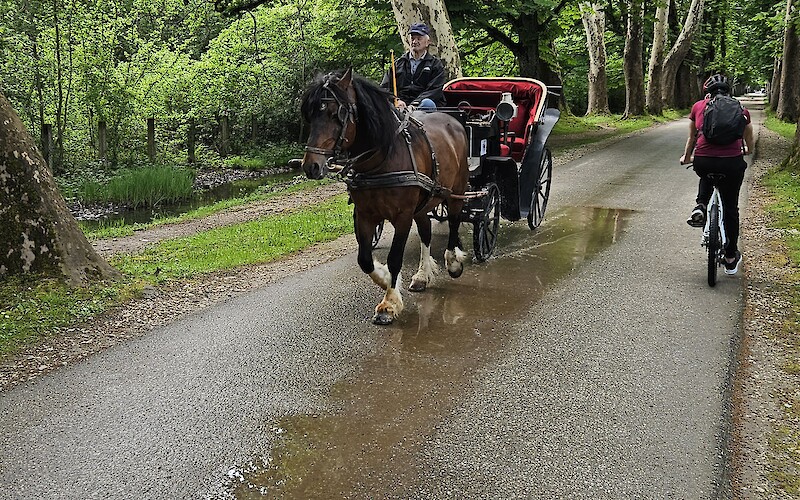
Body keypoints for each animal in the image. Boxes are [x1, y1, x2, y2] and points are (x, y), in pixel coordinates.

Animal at [300, 68, 470, 325]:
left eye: (334, 114)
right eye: (310, 116)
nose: (311, 166)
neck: (382, 159)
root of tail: (453, 121)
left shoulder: (402, 216)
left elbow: (395, 257)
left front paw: (388, 304)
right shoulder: (364, 214)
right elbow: (364, 259)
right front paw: (387, 279)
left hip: (455, 191)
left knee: (454, 222)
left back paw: (452, 262)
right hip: (423, 204)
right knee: (426, 231)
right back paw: (422, 275)